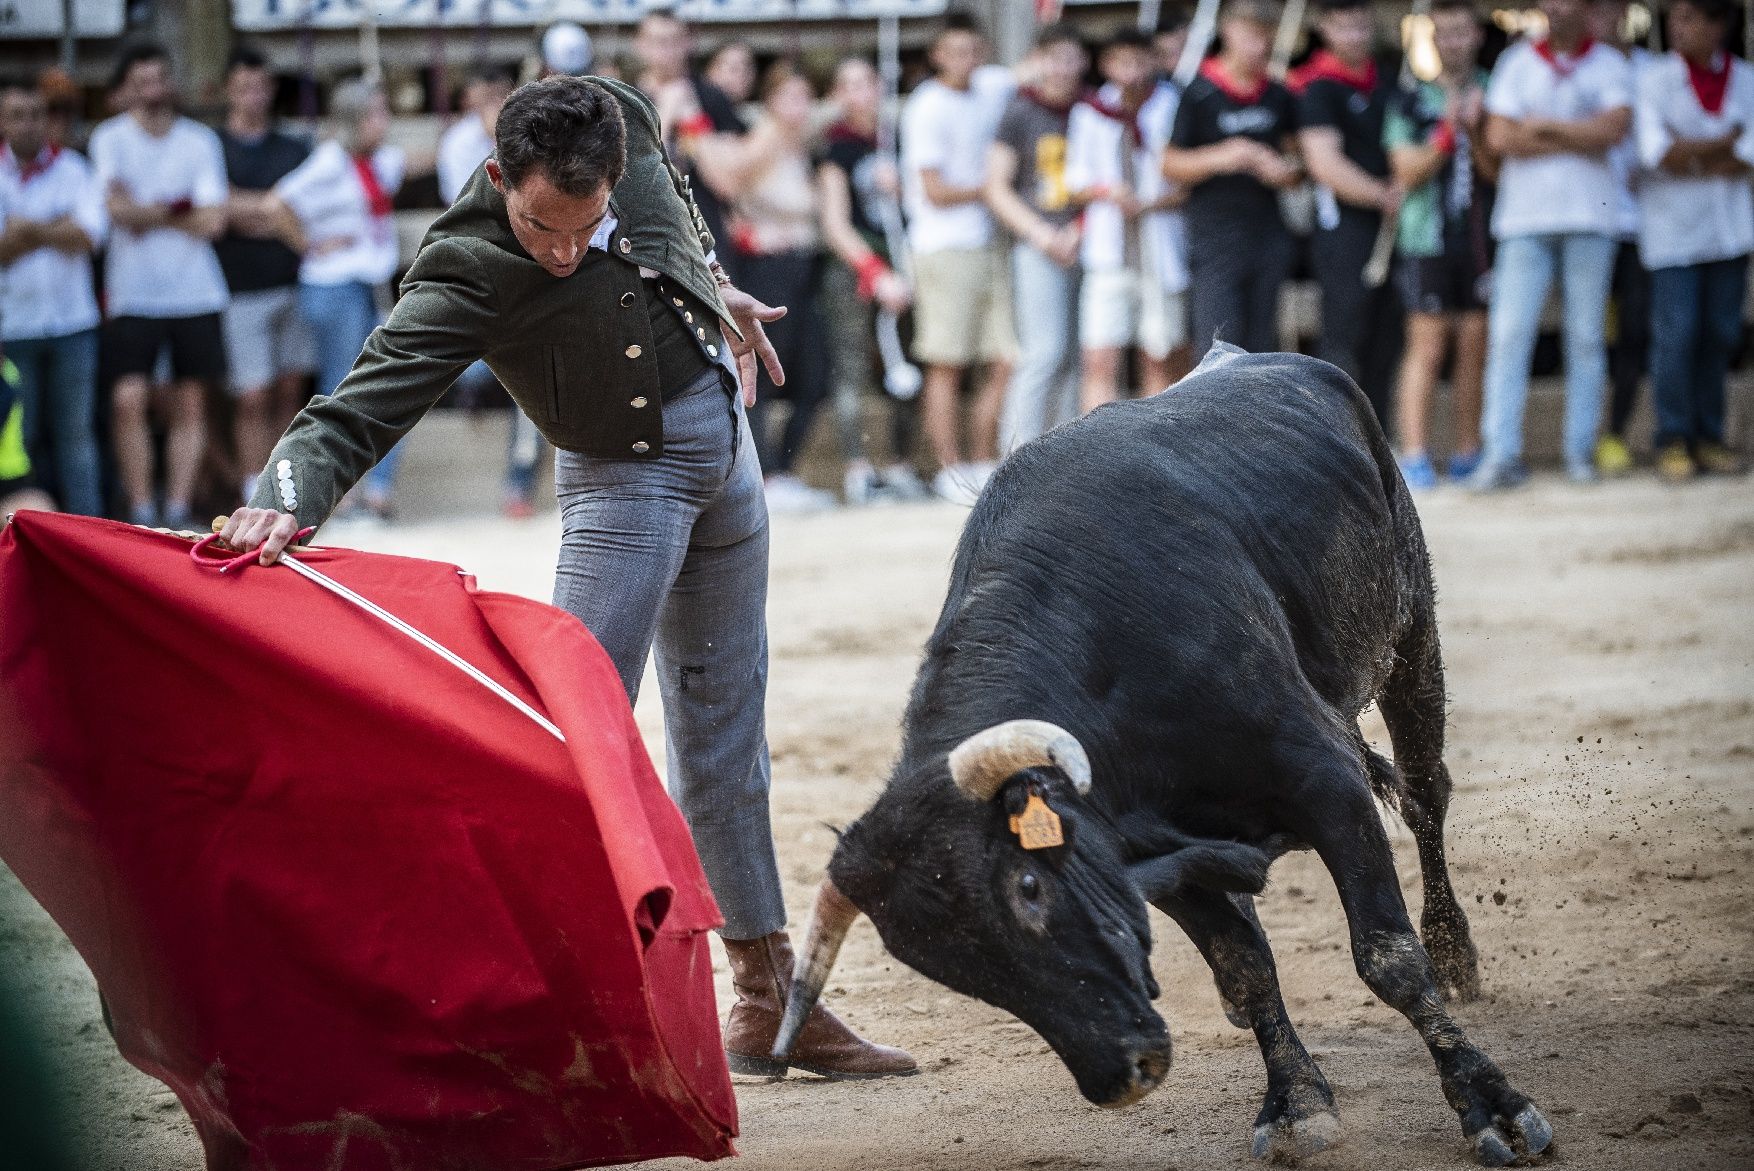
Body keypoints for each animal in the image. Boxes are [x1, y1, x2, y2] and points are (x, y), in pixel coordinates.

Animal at [775, 350, 1557, 1171]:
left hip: (1411, 631)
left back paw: (1456, 954)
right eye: (949, 968)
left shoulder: (1327, 779)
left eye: (1028, 885)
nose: (1124, 1075)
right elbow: (1245, 967)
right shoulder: (1140, 850)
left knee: (1424, 797)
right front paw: (1297, 1103)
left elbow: (1388, 959)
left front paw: (1492, 1107)